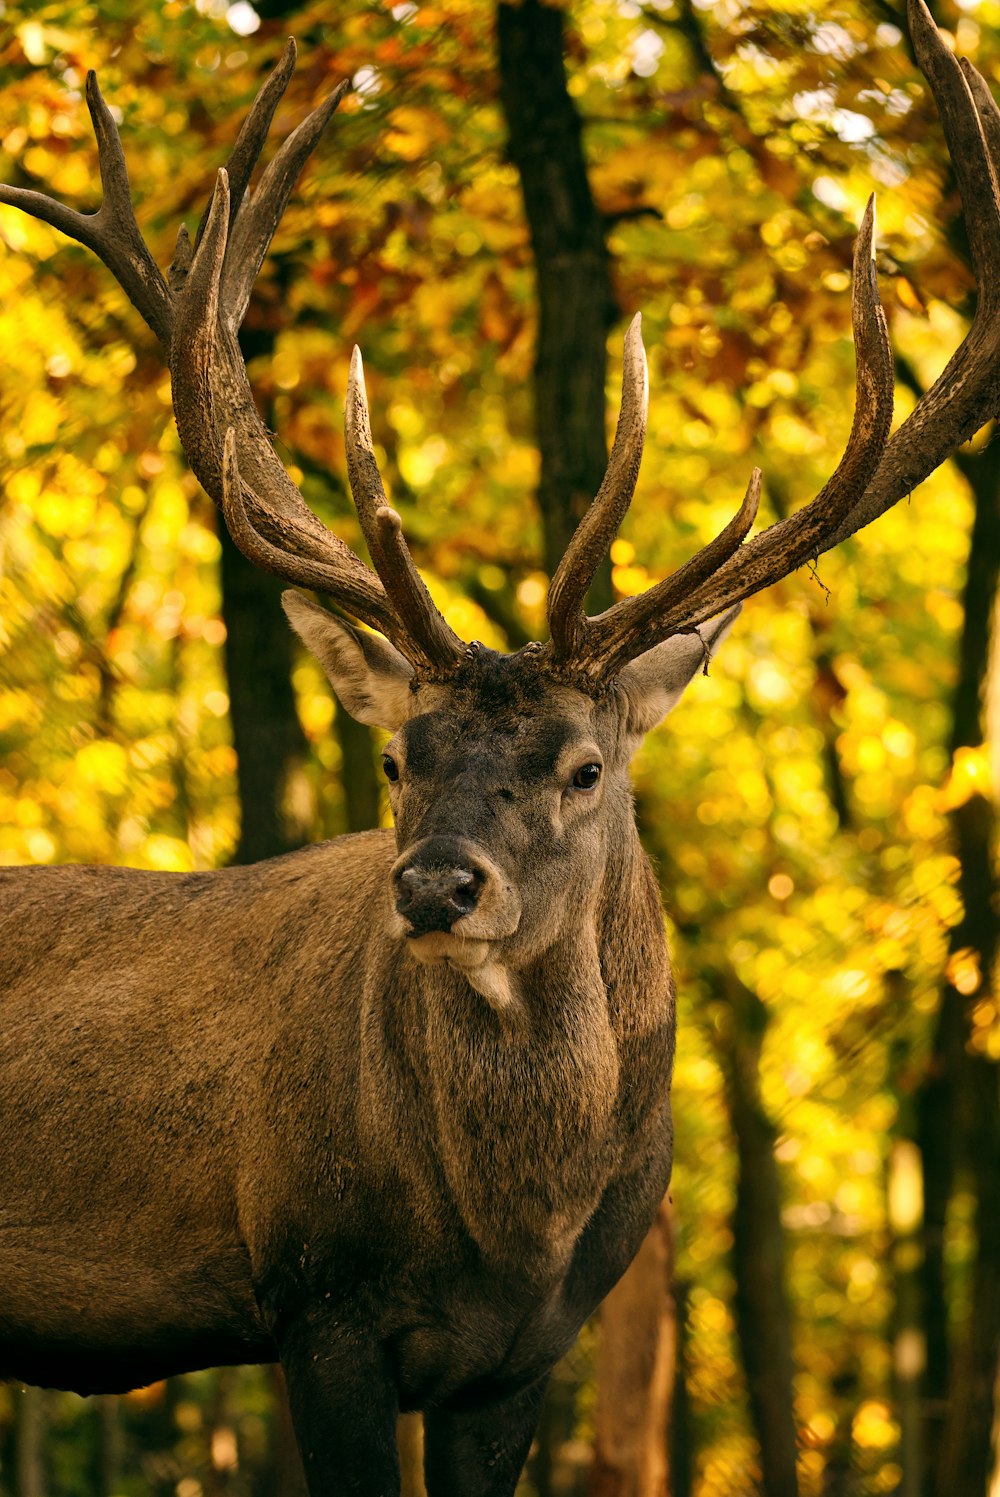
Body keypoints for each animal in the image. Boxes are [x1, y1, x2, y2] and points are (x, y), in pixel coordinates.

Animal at [0, 5, 994, 1491]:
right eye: (398, 758)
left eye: (584, 767)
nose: (432, 887)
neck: (510, 1236)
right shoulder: (317, 1297)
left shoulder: (528, 1358)